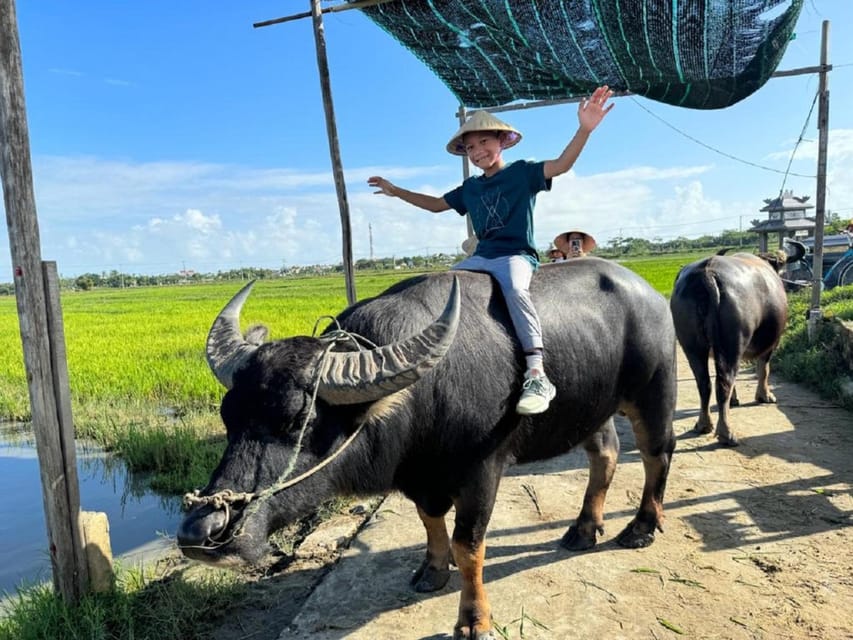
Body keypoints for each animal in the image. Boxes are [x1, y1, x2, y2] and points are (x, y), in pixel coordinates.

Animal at [178, 258, 672, 636]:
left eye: (298, 420)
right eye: (228, 416)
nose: (201, 533)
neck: (424, 397)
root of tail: (647, 291)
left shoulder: (482, 471)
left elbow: (467, 546)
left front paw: (473, 620)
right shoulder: (420, 477)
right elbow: (430, 522)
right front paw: (431, 572)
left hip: (653, 391)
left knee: (656, 455)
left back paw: (641, 527)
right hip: (594, 408)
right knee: (605, 453)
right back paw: (584, 528)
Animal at [668, 242, 804, 448]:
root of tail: (707, 273)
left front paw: (735, 400)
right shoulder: (771, 344)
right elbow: (764, 369)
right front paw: (764, 396)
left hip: (691, 345)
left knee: (705, 383)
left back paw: (703, 424)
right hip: (732, 343)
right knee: (724, 381)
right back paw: (726, 433)